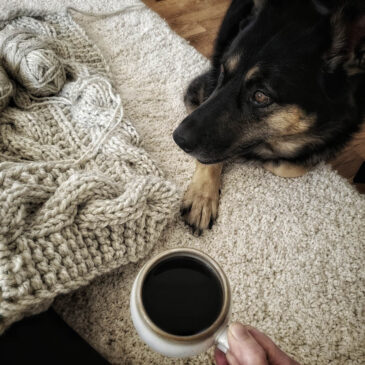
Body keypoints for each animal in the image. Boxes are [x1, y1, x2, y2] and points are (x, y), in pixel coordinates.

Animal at [173, 0, 364, 233]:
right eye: (223, 73)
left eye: (260, 96)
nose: (177, 138)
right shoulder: (200, 90)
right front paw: (202, 197)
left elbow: (291, 166)